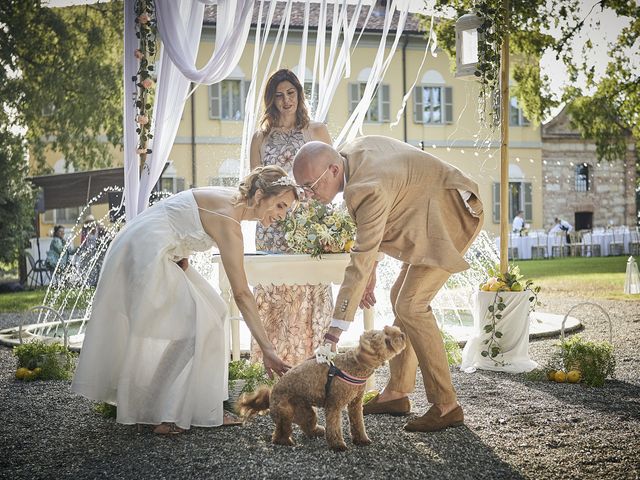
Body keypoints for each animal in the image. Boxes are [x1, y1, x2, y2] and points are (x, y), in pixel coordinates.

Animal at [238, 326, 408, 450]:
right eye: (386, 340)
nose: (403, 335)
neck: (353, 366)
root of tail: (271, 394)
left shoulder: (355, 404)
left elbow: (358, 423)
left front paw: (362, 440)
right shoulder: (334, 405)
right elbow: (334, 427)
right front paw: (338, 445)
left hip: (305, 411)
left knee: (307, 425)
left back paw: (317, 431)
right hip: (284, 412)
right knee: (280, 432)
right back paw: (286, 441)